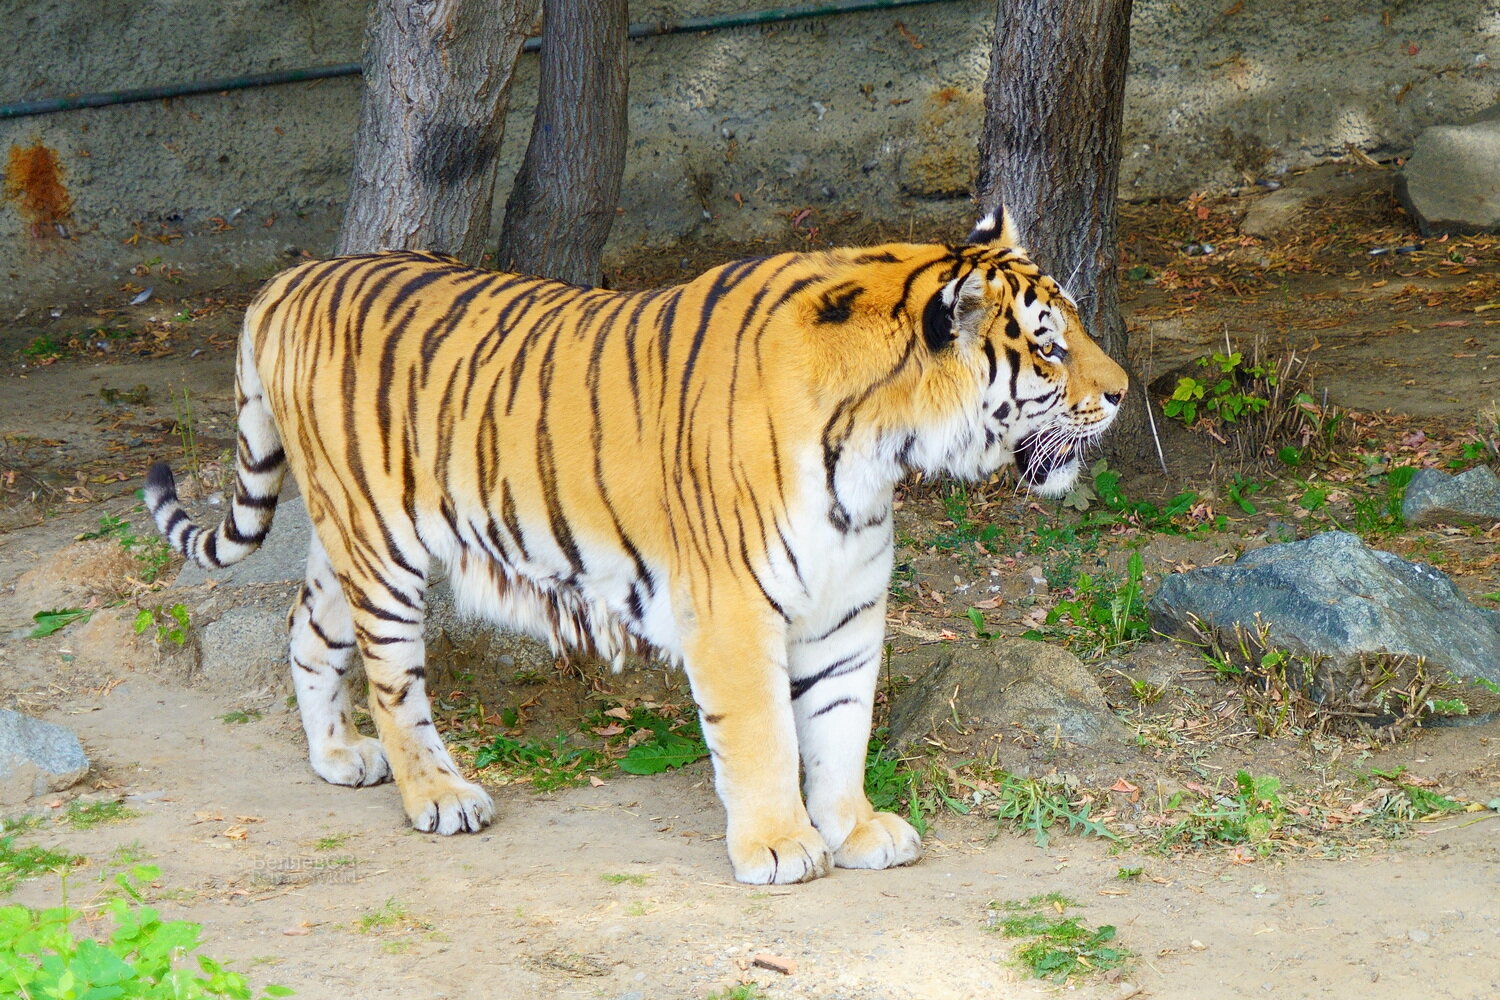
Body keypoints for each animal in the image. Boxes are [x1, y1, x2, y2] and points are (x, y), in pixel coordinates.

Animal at [144, 208, 1127, 885]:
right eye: (1048, 349)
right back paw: (440, 796)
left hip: (354, 533)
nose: (1119, 394)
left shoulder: (848, 605)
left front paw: (852, 828)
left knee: (307, 629)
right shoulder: (732, 607)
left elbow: (840, 724)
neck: (882, 449)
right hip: (383, 554)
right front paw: (780, 845)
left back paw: (338, 757)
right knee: (394, 685)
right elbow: (765, 734)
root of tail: (291, 278)